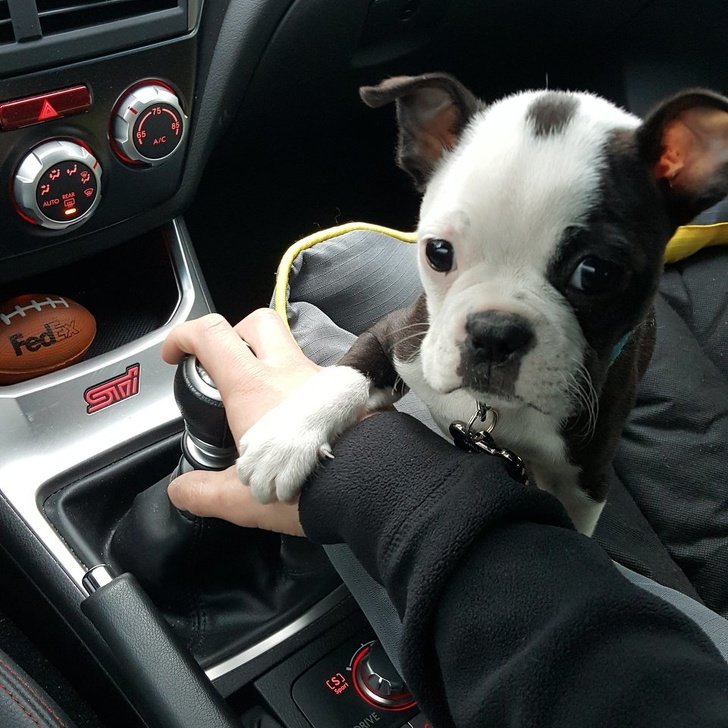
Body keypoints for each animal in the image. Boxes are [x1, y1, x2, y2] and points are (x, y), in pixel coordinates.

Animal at [237, 75, 728, 536]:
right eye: (437, 251)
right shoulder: (401, 334)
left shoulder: (586, 482)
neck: (490, 408)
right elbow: (349, 371)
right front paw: (287, 437)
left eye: (595, 274)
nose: (495, 332)